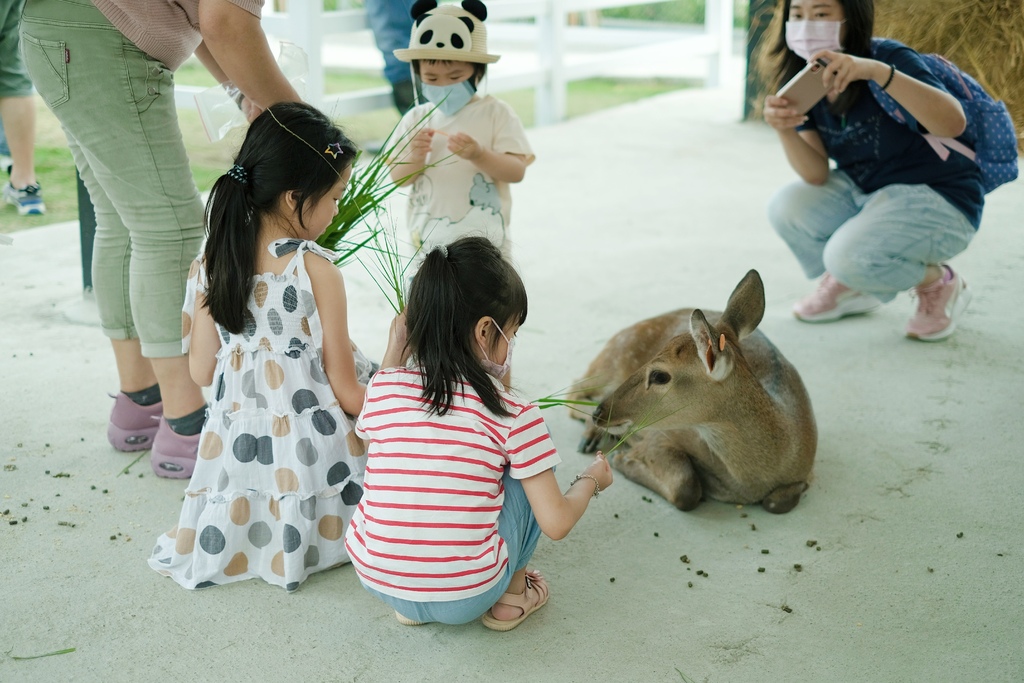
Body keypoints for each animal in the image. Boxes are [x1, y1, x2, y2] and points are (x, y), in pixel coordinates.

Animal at [569, 270, 815, 516]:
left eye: (659, 376)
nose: (601, 413)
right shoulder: (663, 435)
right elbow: (686, 488)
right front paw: (621, 459)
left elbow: (776, 503)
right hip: (612, 360)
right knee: (574, 388)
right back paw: (590, 436)